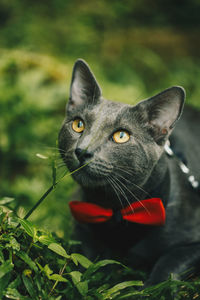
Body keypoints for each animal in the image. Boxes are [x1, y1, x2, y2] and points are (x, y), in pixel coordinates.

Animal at [58, 58, 200, 286]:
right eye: (78, 125)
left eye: (121, 136)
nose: (82, 151)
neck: (115, 209)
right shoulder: (82, 225)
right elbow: (87, 259)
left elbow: (170, 261)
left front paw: (151, 288)